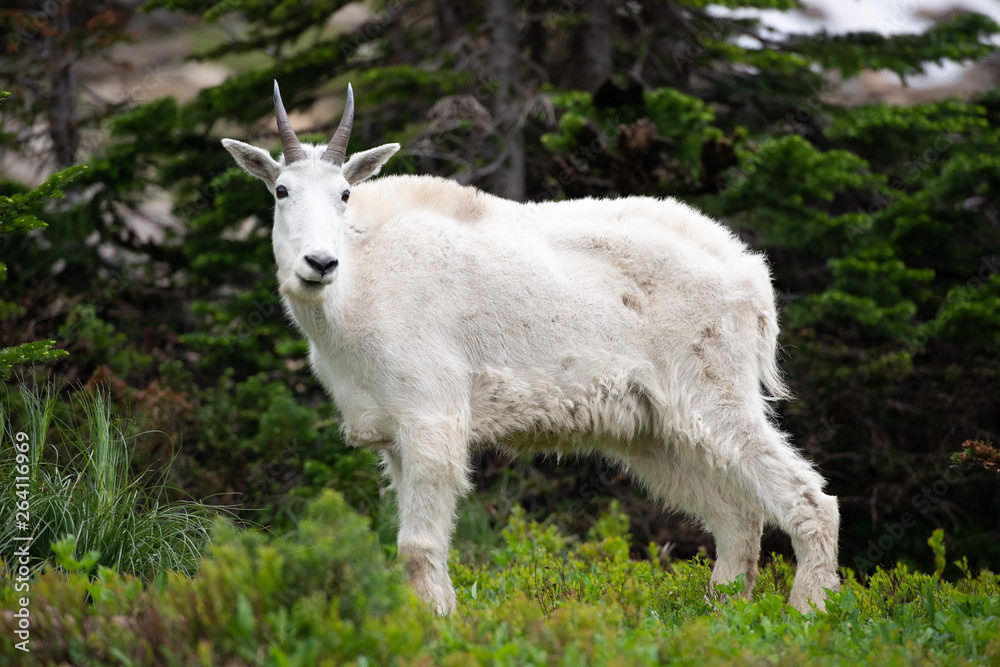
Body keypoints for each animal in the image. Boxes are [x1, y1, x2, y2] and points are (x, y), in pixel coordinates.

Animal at [223, 82, 840, 616]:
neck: (357, 289)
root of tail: (752, 277)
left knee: (807, 496)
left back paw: (809, 610)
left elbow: (417, 546)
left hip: (716, 392)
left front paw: (438, 625)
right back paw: (723, 612)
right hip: (653, 429)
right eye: (281, 191)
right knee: (736, 516)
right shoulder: (391, 435)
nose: (319, 263)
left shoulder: (431, 418)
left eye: (345, 195)